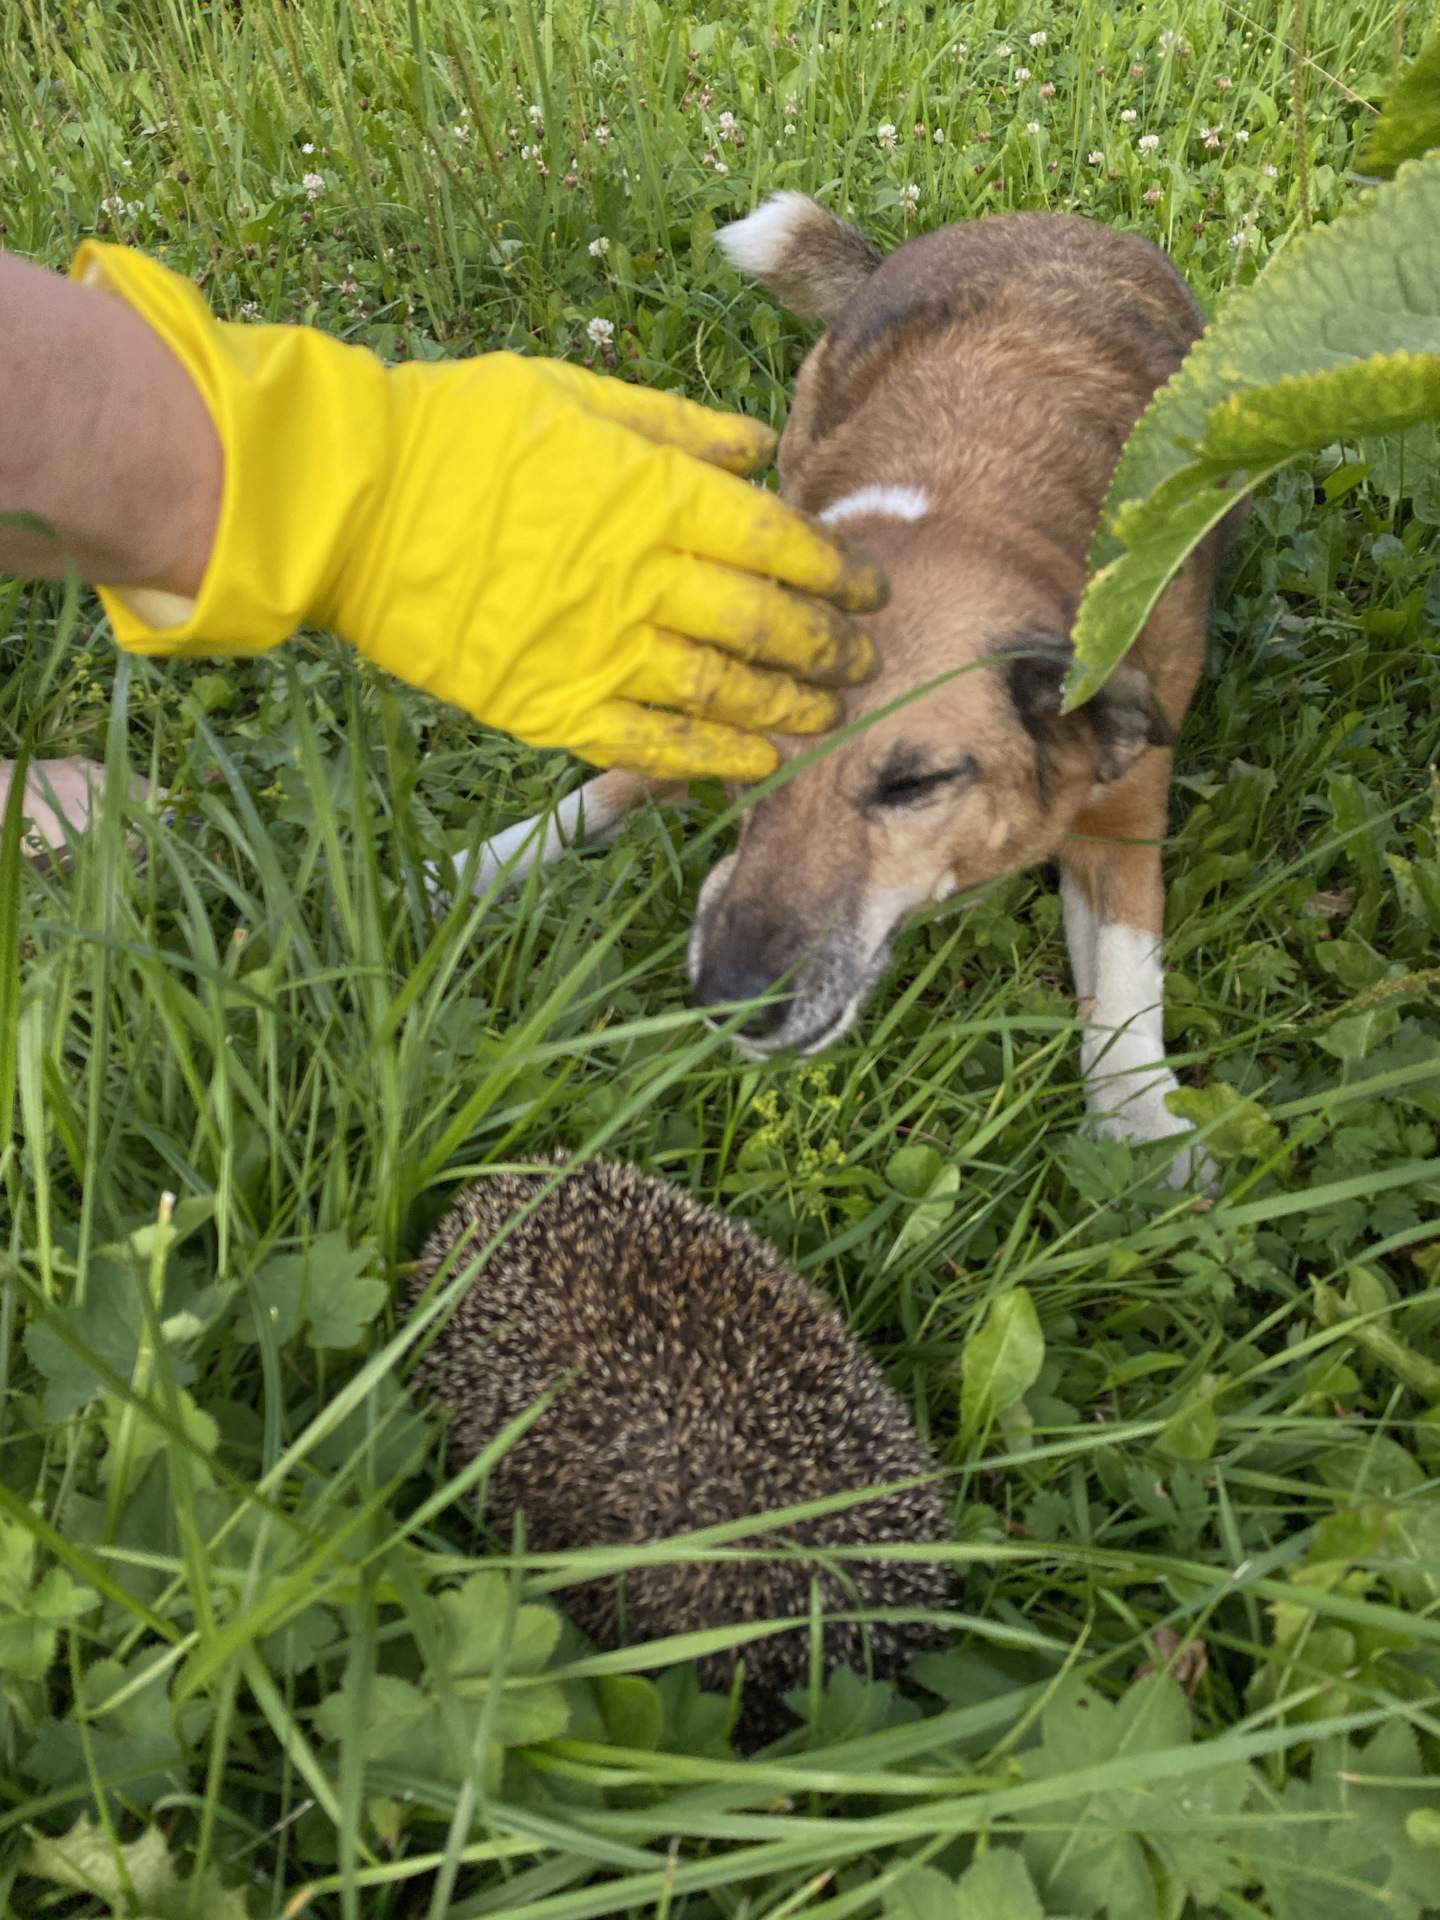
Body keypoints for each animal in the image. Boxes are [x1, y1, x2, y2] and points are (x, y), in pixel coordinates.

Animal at [470, 202, 1228, 1175]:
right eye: (757, 764)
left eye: (915, 784)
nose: (731, 999)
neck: (966, 509)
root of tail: (1050, 218)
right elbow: (607, 788)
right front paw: (463, 873)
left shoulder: (1124, 809)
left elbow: (1129, 974)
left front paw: (1140, 1119)